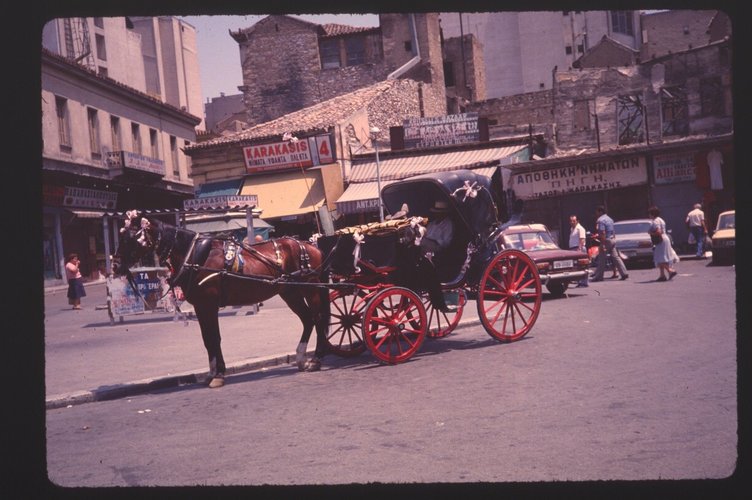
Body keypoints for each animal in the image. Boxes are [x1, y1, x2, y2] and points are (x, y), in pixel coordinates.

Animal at [111, 209, 328, 388]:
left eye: (131, 238)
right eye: (120, 236)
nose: (114, 265)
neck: (195, 256)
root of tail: (310, 246)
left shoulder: (208, 304)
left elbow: (214, 337)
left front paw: (218, 375)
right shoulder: (200, 306)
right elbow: (208, 339)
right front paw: (212, 373)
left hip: (310, 287)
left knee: (318, 319)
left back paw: (316, 359)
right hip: (290, 292)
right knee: (308, 320)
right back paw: (301, 357)